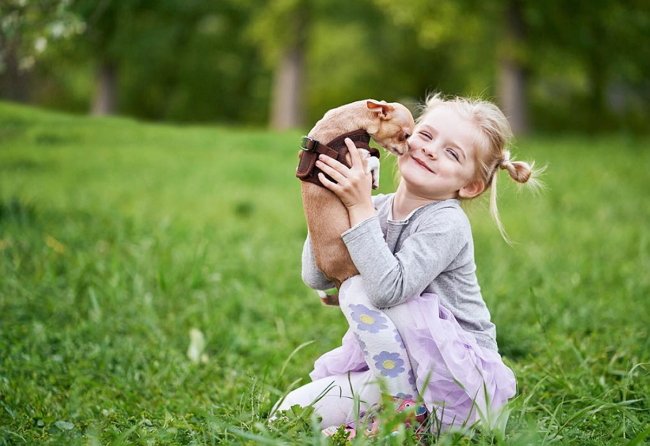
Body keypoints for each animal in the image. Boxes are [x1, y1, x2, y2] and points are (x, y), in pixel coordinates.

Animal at [296, 99, 412, 298]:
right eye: (405, 136)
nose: (407, 151)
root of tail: (336, 278)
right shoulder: (356, 161)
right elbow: (374, 160)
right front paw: (375, 178)